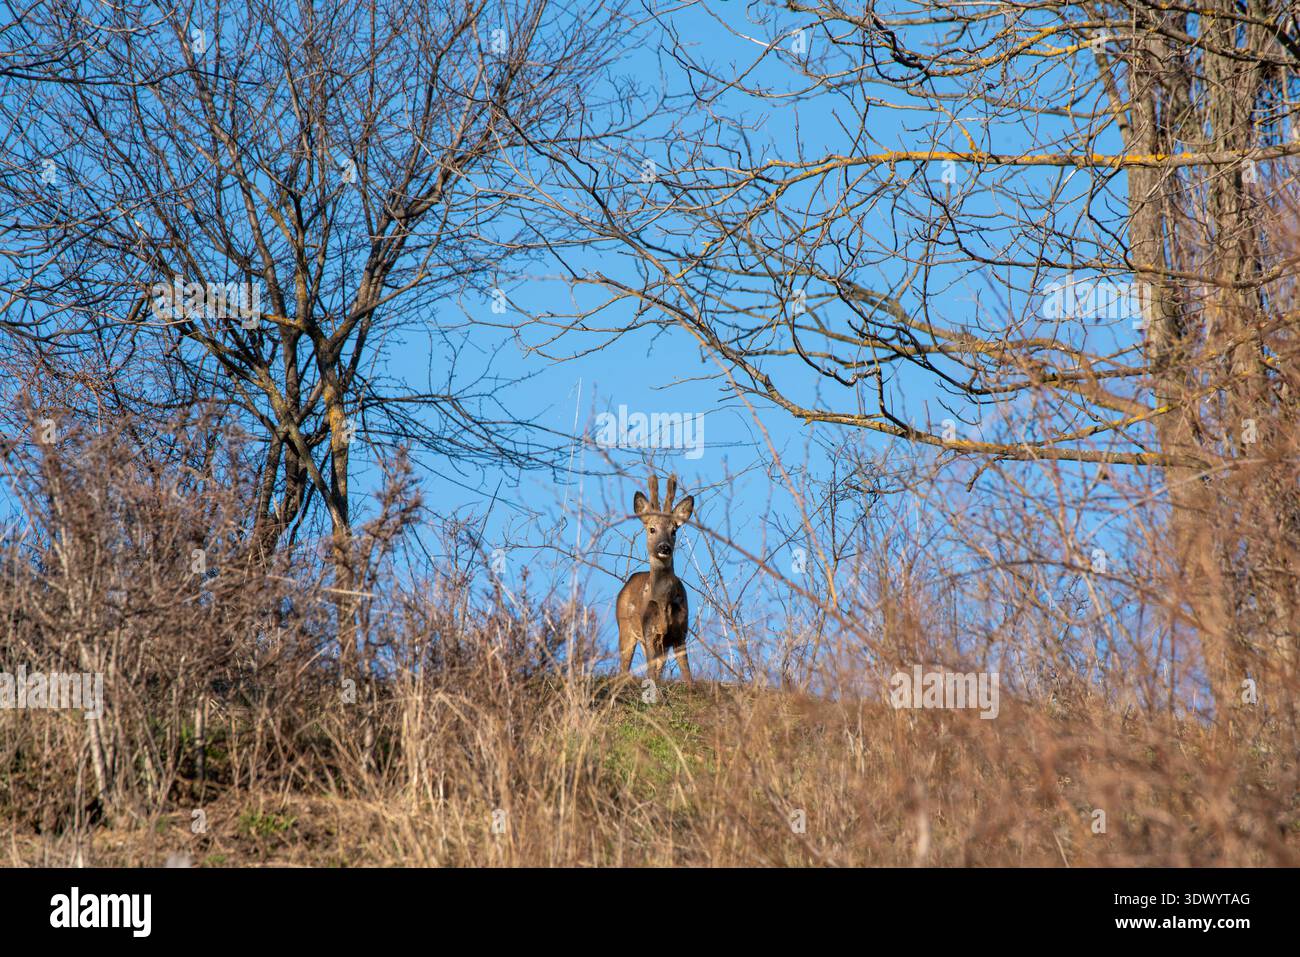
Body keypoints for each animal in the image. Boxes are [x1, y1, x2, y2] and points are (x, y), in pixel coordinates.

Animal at [617, 471, 695, 685]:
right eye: (652, 529)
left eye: (674, 531)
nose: (664, 547)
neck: (662, 600)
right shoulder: (649, 630)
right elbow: (651, 671)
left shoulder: (680, 631)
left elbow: (686, 671)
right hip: (625, 627)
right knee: (624, 667)